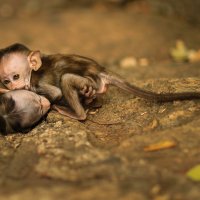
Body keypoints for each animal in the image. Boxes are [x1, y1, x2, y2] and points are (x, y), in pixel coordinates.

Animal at [0, 42, 200, 119]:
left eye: (16, 76)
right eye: (6, 80)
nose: (13, 85)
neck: (32, 72)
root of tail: (100, 69)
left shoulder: (37, 81)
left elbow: (54, 92)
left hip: (91, 81)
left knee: (66, 79)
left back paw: (78, 113)